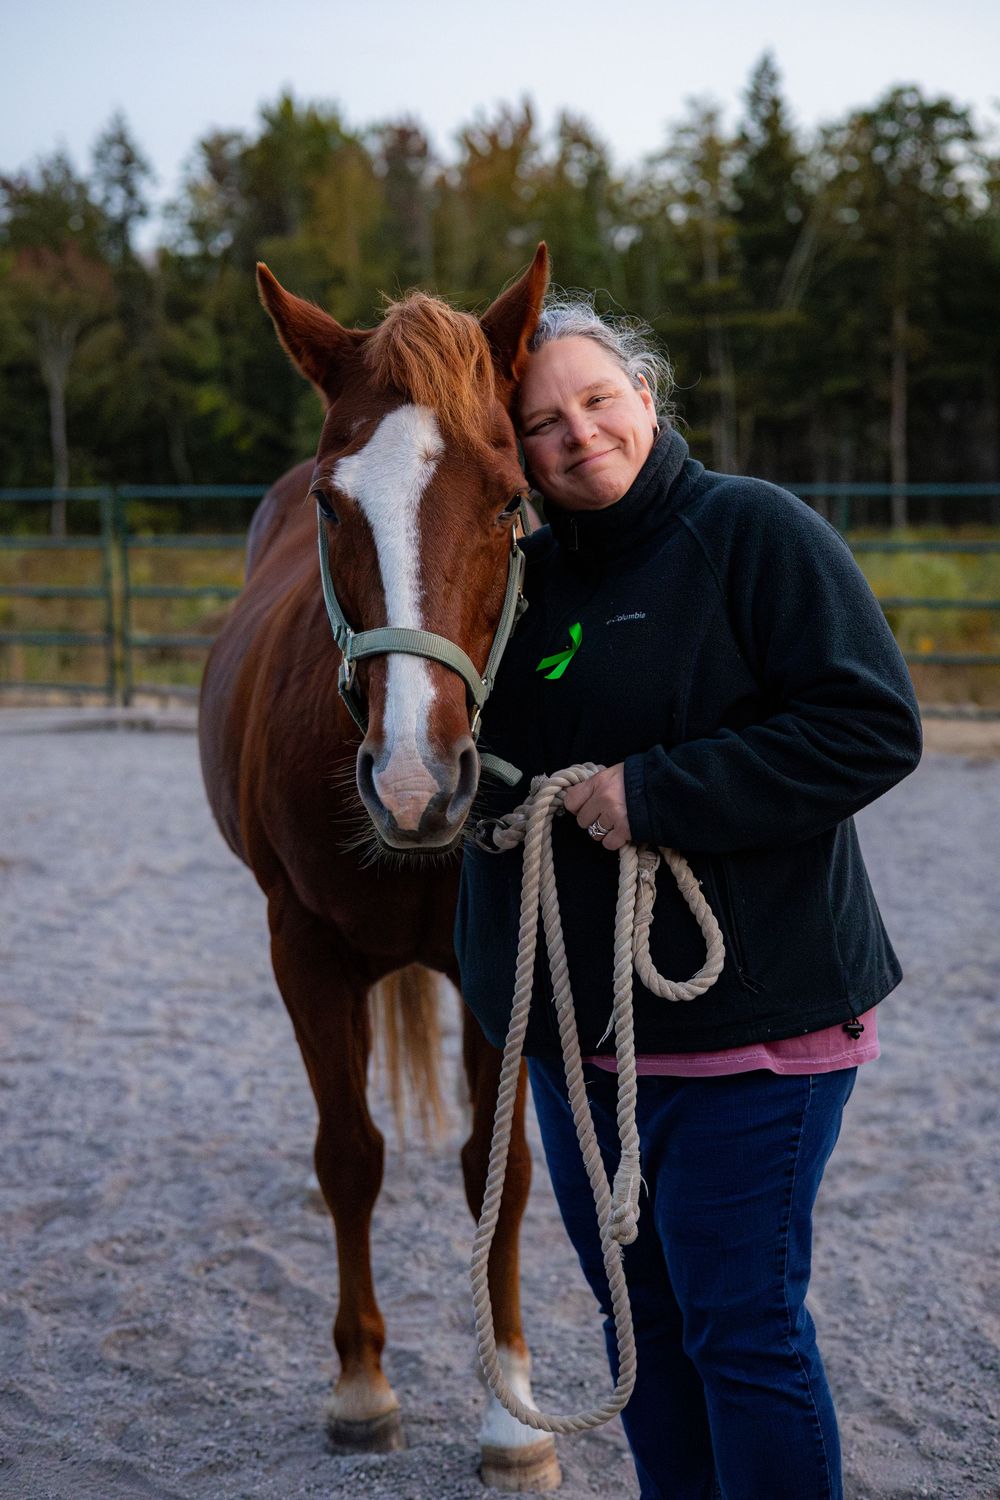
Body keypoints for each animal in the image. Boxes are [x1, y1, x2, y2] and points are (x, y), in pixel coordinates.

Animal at [197, 245, 560, 1491]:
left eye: (509, 501)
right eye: (330, 501)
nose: (415, 781)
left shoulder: (503, 967)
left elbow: (497, 1170)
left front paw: (509, 1408)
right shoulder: (299, 947)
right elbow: (350, 1154)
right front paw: (361, 1387)